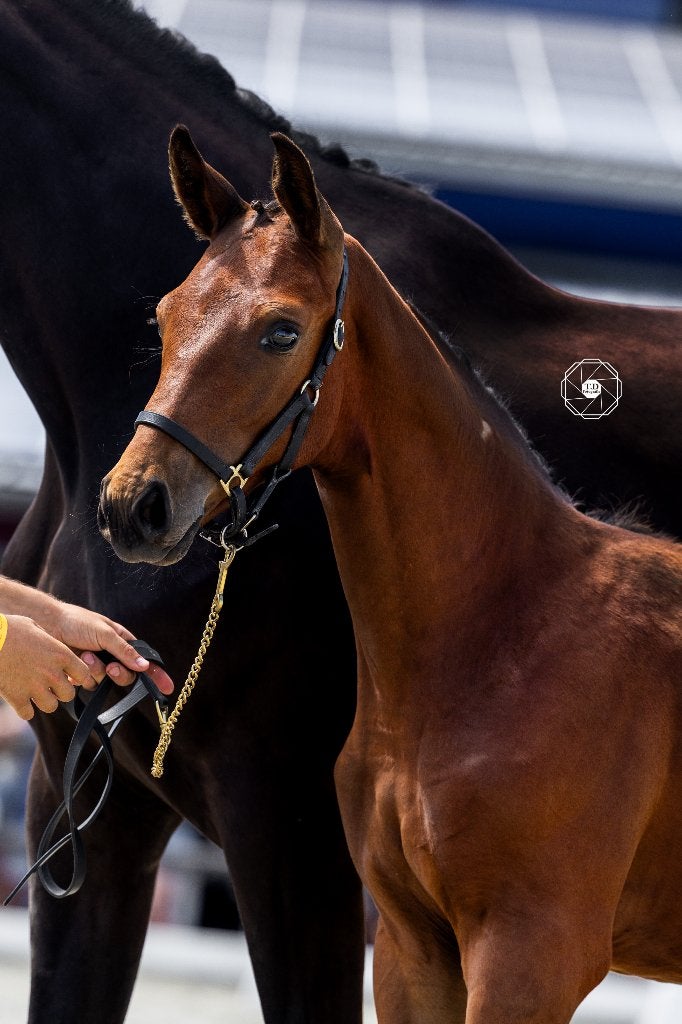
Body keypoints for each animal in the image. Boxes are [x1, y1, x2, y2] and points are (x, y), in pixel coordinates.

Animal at [1, 1, 682, 1021]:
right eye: (162, 318)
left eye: (282, 330)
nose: (136, 508)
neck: (514, 620)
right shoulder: (94, 809)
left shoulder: (468, 924)